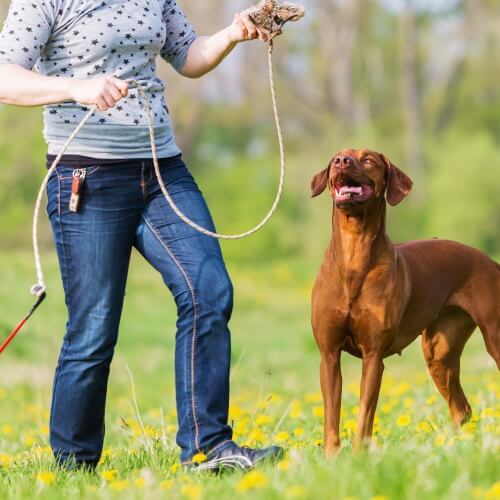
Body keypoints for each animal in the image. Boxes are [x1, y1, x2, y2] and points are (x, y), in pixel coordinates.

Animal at [310, 147, 498, 454]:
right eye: (336, 157)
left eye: (368, 160)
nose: (341, 162)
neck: (353, 251)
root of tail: (490, 260)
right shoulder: (329, 355)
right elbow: (331, 416)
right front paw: (331, 458)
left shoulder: (373, 357)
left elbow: (365, 413)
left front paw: (358, 456)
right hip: (438, 352)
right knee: (461, 409)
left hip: (494, 338)